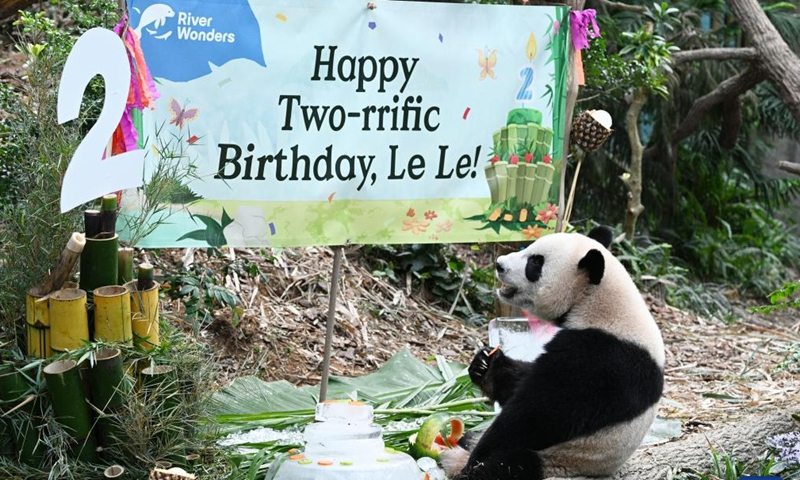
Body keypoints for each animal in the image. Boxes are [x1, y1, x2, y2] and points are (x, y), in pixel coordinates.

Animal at [440, 226, 664, 480]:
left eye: (535, 263)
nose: (499, 264)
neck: (598, 302)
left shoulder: (602, 357)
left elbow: (542, 411)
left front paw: (477, 459)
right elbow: (522, 382)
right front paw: (486, 365)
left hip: (562, 459)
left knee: (511, 465)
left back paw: (467, 466)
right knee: (471, 438)